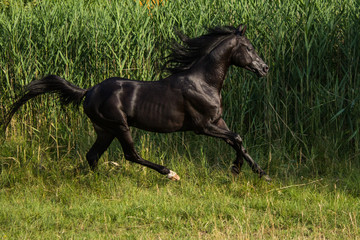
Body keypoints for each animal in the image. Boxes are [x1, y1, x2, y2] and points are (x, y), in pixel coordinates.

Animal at [0, 25, 270, 181]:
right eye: (248, 48)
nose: (265, 68)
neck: (203, 82)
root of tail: (88, 91)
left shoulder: (217, 121)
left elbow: (238, 141)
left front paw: (259, 174)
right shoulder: (202, 126)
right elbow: (237, 138)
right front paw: (237, 170)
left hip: (105, 130)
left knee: (92, 155)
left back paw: (94, 181)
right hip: (119, 126)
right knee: (131, 154)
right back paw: (170, 173)